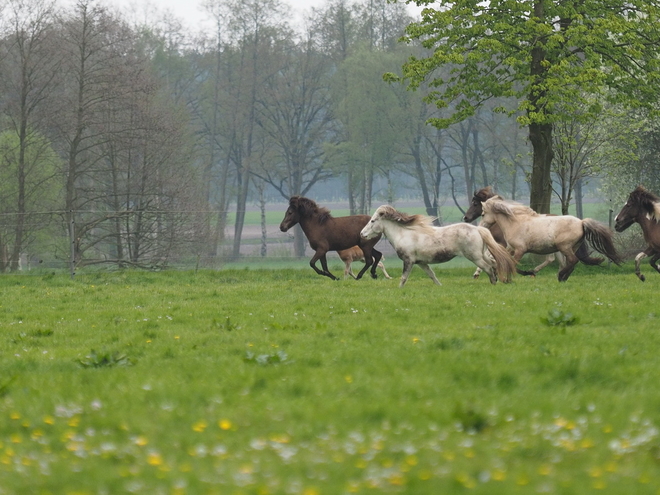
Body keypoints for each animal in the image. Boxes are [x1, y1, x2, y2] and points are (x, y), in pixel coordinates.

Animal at [358, 204, 520, 288]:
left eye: (372, 221)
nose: (362, 234)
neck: (403, 234)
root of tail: (477, 229)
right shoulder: (421, 263)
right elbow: (432, 275)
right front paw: (439, 286)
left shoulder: (408, 261)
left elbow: (403, 278)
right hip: (482, 254)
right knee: (494, 263)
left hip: (475, 257)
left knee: (489, 268)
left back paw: (494, 283)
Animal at [480, 198, 624, 282]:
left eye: (482, 213)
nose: (482, 226)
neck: (515, 222)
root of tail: (581, 222)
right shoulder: (510, 248)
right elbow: (501, 259)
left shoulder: (520, 250)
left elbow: (513, 263)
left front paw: (514, 277)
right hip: (572, 247)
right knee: (571, 263)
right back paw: (563, 278)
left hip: (564, 247)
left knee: (572, 261)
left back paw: (561, 276)